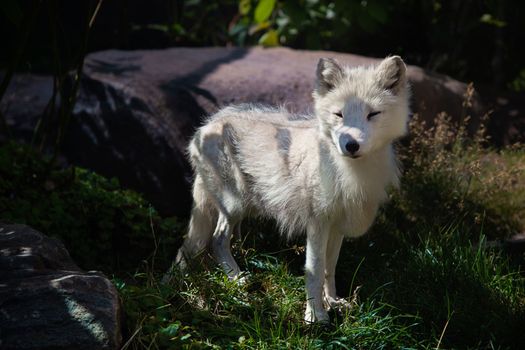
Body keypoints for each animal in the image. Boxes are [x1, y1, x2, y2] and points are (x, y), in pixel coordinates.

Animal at [175, 55, 410, 322]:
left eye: (373, 114)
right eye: (338, 114)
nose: (350, 145)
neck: (349, 173)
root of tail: (207, 126)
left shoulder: (337, 225)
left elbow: (330, 268)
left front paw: (332, 301)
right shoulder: (318, 223)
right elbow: (315, 270)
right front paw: (315, 317)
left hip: (242, 208)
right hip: (234, 205)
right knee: (217, 240)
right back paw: (237, 280)